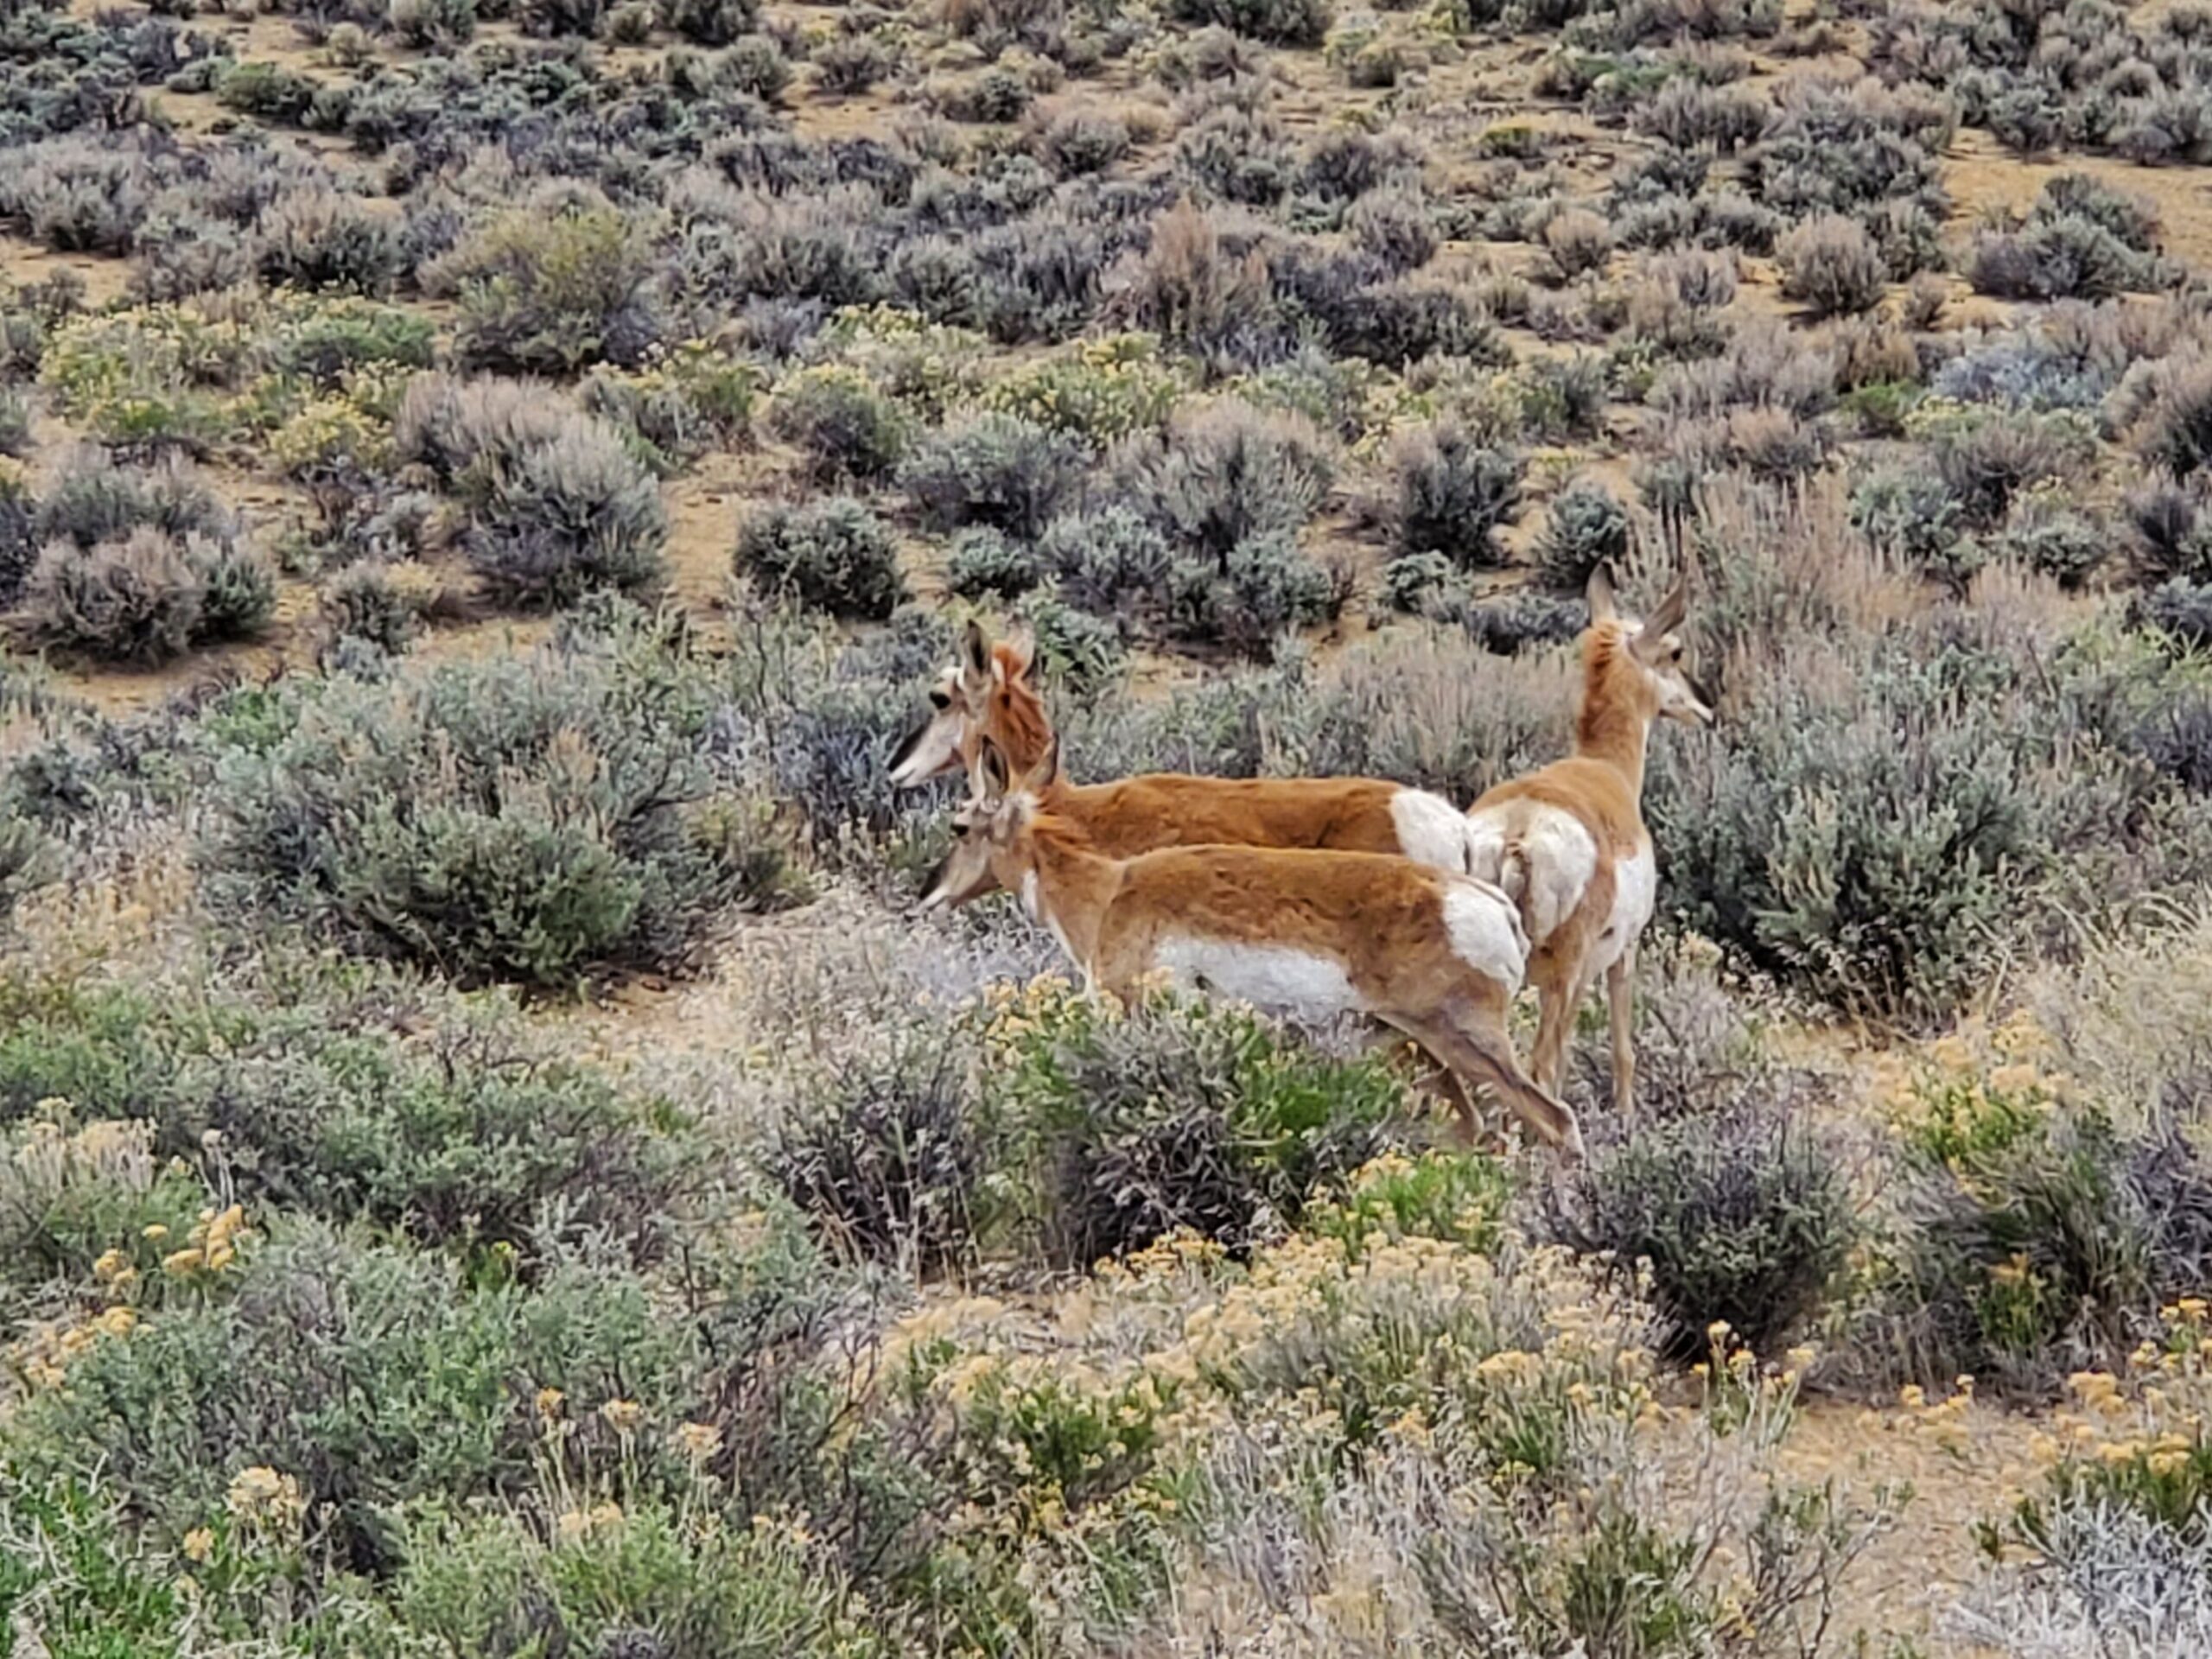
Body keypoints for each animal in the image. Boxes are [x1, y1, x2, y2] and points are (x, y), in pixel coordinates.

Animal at [933, 734, 1592, 1159]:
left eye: (959, 826)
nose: (928, 893)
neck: (1110, 888)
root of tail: (1490, 899)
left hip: (1458, 1039)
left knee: (1552, 1118)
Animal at [1468, 566, 1707, 1123]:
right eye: (1676, 652)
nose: (1706, 709)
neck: (1604, 769)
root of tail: (1517, 832)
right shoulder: (1620, 953)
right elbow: (1620, 1046)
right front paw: (1626, 1115)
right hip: (1559, 972)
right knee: (1540, 1070)